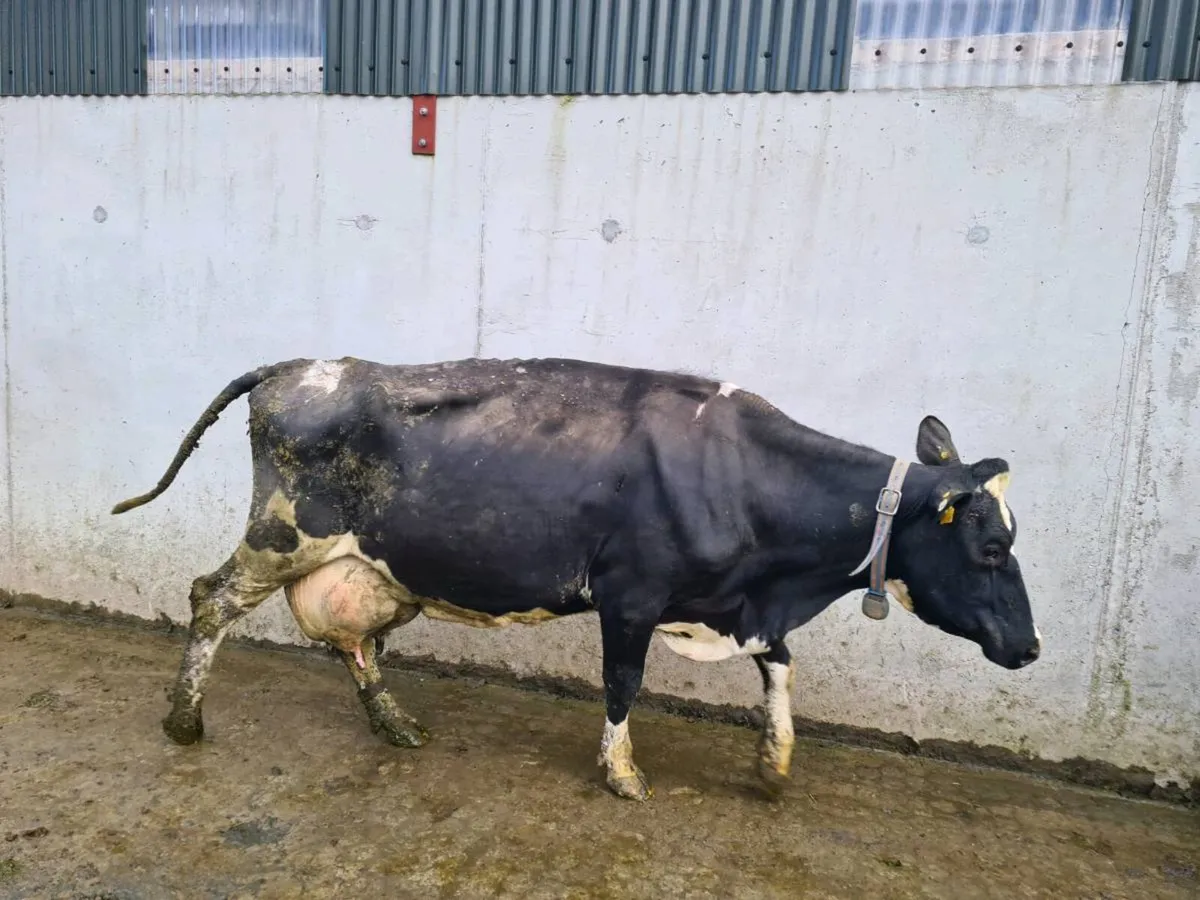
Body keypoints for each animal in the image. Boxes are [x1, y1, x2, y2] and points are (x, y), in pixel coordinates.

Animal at [111, 356, 1040, 801]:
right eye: (992, 549)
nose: (1031, 648)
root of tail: (303, 364)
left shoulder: (739, 603)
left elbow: (781, 670)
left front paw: (774, 767)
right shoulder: (631, 595)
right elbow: (623, 684)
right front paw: (622, 775)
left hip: (376, 567)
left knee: (353, 639)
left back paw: (396, 726)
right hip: (283, 536)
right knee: (209, 599)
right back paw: (184, 721)